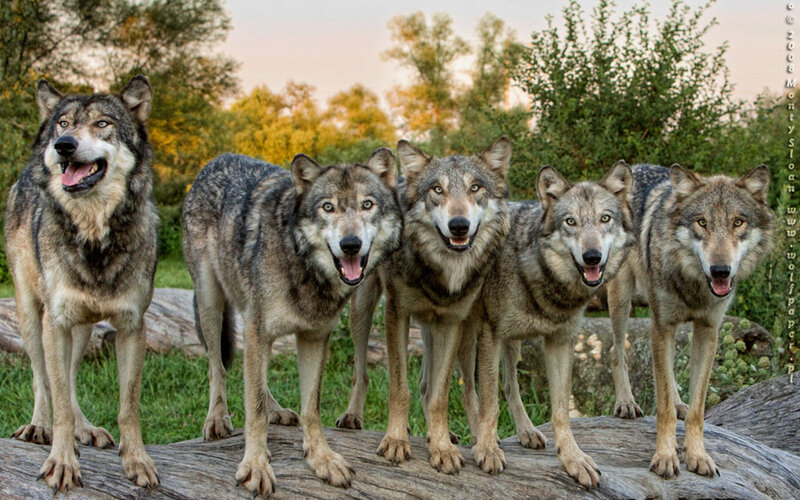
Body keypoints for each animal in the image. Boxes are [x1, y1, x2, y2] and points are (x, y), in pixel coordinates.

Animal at [4, 76, 159, 492]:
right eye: (64, 123)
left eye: (102, 124)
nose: (63, 145)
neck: (93, 238)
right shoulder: (55, 323)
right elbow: (56, 398)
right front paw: (61, 461)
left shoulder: (132, 327)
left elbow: (128, 406)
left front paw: (136, 461)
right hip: (32, 318)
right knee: (42, 379)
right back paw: (38, 426)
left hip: (84, 330)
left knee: (70, 380)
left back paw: (86, 429)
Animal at [181, 149, 402, 497]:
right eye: (327, 207)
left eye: (367, 204)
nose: (350, 244)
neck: (303, 264)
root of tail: (219, 158)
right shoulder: (259, 331)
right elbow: (254, 411)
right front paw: (255, 466)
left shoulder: (313, 337)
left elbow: (310, 408)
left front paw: (321, 458)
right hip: (210, 303)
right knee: (217, 367)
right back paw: (216, 419)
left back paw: (276, 410)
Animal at [335, 138, 511, 475]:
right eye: (437, 190)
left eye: (475, 187)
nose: (459, 226)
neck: (440, 271)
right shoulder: (396, 314)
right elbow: (399, 388)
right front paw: (395, 440)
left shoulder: (451, 323)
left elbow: (439, 395)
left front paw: (441, 447)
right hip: (363, 310)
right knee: (361, 372)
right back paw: (352, 416)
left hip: (455, 333)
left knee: (441, 388)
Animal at [468, 162, 635, 488]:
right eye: (570, 221)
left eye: (605, 219)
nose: (592, 257)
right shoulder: (489, 334)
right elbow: (490, 402)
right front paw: (487, 449)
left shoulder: (560, 342)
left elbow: (561, 411)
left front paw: (573, 459)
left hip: (512, 344)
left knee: (509, 385)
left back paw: (527, 432)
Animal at [605, 164, 773, 478]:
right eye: (702, 222)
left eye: (738, 222)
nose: (720, 270)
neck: (695, 284)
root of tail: (635, 166)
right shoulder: (663, 325)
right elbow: (663, 409)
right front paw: (665, 457)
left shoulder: (708, 330)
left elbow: (697, 409)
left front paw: (697, 455)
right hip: (621, 300)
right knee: (615, 351)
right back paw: (626, 403)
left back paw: (677, 402)